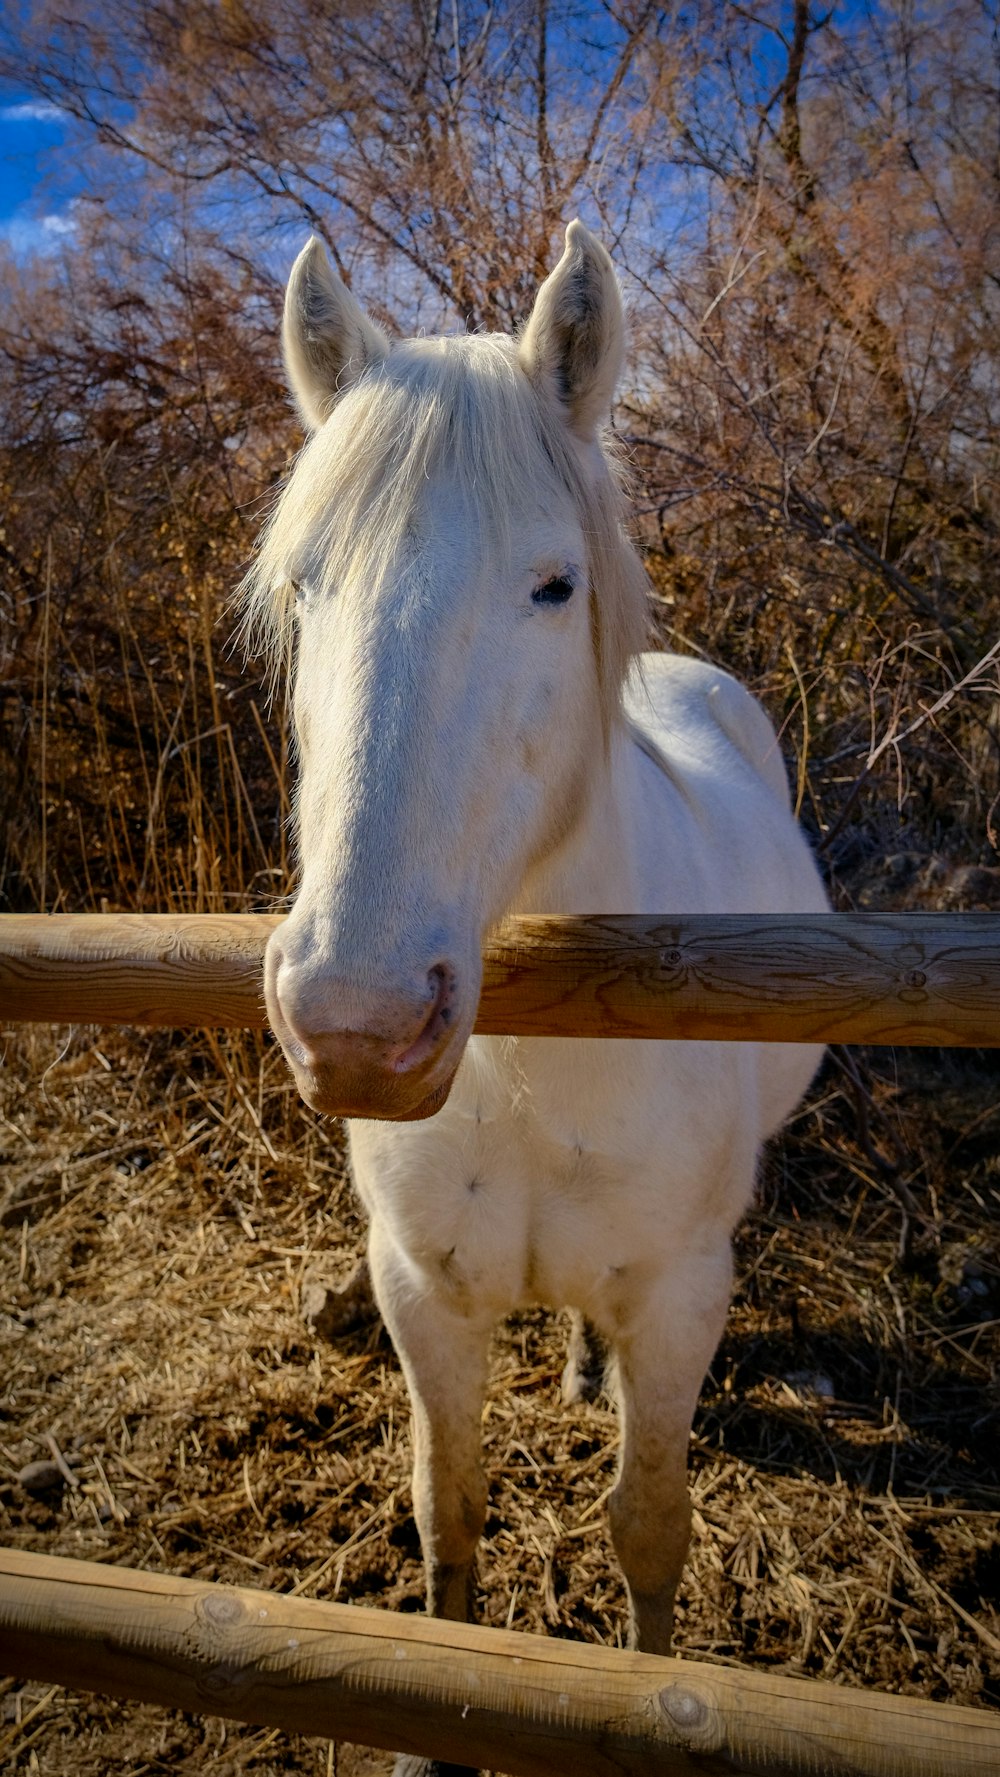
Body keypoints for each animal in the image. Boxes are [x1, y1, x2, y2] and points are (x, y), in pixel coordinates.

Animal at [248, 222, 831, 1777]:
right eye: (304, 587)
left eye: (554, 585)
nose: (358, 1026)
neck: (537, 1066)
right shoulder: (419, 1290)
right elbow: (444, 1511)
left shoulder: (684, 1298)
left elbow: (649, 1530)